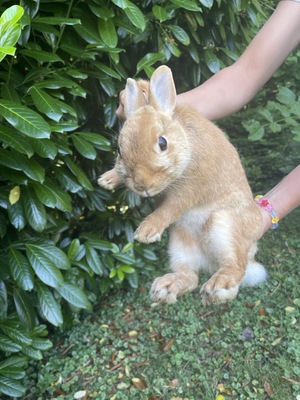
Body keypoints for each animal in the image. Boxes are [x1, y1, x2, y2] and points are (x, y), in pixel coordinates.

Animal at [97, 65, 266, 306]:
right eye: (119, 150)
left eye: (162, 143)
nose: (142, 185)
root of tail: (209, 262)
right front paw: (107, 180)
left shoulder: (188, 191)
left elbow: (170, 208)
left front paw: (145, 233)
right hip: (179, 242)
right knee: (191, 276)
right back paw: (165, 288)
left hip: (224, 226)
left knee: (236, 267)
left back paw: (217, 288)